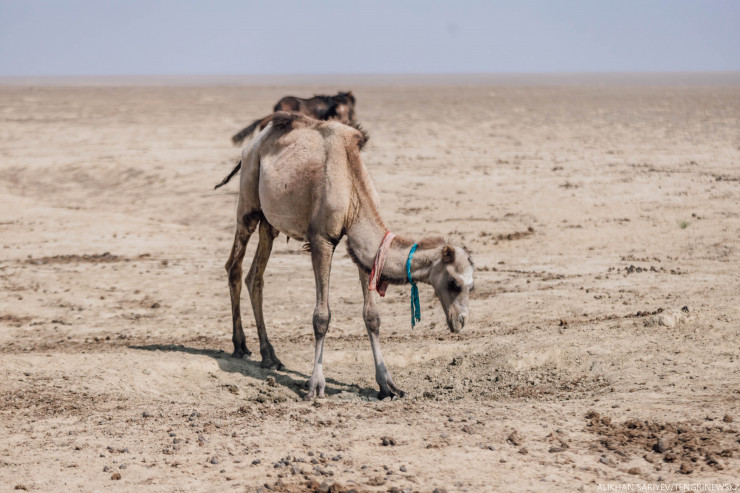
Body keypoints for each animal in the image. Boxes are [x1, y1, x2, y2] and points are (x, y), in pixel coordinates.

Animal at [225, 111, 476, 400]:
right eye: (454, 283)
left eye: (472, 286)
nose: (460, 321)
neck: (352, 191)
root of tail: (254, 143)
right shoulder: (321, 239)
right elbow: (321, 317)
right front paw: (315, 385)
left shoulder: (363, 251)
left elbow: (372, 317)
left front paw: (388, 385)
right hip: (248, 201)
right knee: (235, 266)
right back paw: (240, 346)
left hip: (270, 222)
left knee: (255, 276)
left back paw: (269, 356)